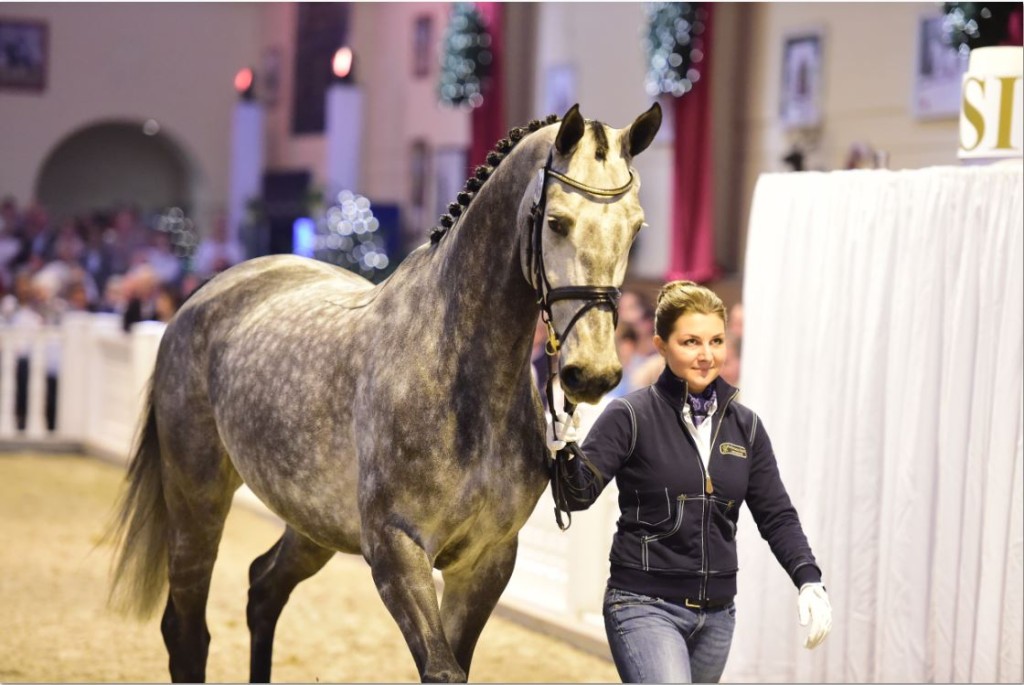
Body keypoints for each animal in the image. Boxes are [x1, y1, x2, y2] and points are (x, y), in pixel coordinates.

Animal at [105, 104, 663, 679]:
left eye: (635, 229)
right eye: (556, 222)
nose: (592, 373)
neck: (461, 379)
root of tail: (201, 298)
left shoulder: (486, 561)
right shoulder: (397, 551)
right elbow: (441, 669)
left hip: (312, 522)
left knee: (263, 589)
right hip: (196, 497)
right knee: (188, 632)